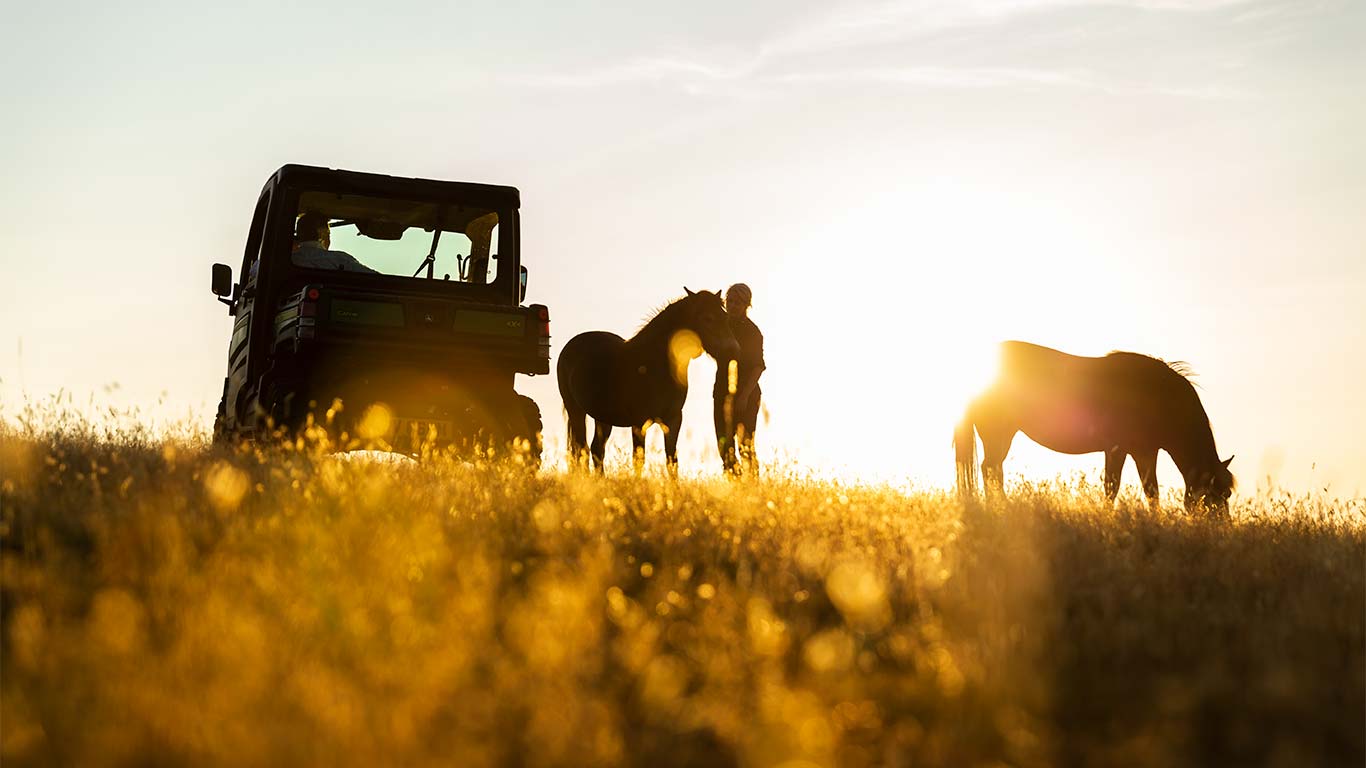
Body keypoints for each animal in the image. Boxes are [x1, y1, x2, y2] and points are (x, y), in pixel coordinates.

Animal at [557, 286, 743, 472]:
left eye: (726, 318)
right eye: (708, 318)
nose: (733, 351)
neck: (653, 365)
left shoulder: (673, 420)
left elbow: (672, 460)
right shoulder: (639, 423)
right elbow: (639, 460)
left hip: (603, 417)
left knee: (597, 450)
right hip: (576, 411)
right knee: (581, 449)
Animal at [956, 340, 1234, 513]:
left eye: (1227, 495)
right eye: (1217, 496)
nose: (1222, 528)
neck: (1157, 393)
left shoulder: (1145, 452)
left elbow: (1151, 491)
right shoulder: (1117, 449)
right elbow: (1112, 488)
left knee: (993, 470)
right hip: (998, 434)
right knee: (991, 470)